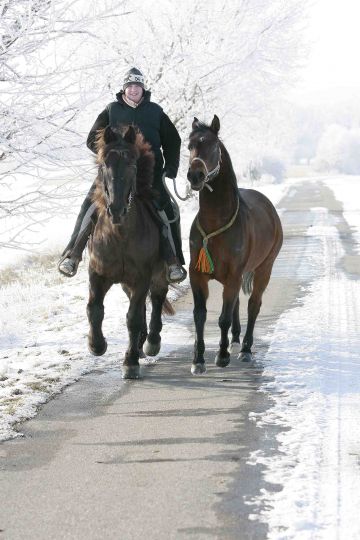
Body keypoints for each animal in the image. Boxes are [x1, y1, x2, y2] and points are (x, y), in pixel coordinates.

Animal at [87, 125, 172, 380]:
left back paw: (151, 342)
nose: (116, 209)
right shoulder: (97, 273)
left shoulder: (142, 277)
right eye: (104, 164)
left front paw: (130, 362)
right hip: (126, 283)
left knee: (156, 299)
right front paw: (97, 345)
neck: (119, 235)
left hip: (159, 275)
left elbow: (133, 318)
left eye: (132, 165)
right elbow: (95, 309)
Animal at [187, 115, 282, 374]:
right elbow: (200, 315)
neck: (215, 223)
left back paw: (245, 349)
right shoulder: (197, 275)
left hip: (264, 269)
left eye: (213, 146)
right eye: (189, 146)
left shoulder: (233, 275)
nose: (195, 176)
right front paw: (198, 360)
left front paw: (221, 356)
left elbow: (223, 318)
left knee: (253, 305)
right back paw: (236, 340)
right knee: (238, 303)